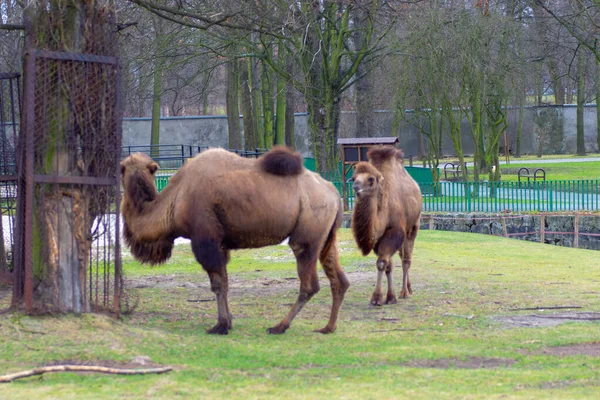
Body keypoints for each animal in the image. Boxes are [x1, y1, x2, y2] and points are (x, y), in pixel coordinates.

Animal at [119, 147, 350, 334]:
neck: (175, 200)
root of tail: (334, 193)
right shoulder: (220, 244)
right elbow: (226, 282)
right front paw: (228, 322)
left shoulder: (205, 238)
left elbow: (217, 283)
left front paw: (220, 326)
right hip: (327, 238)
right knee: (339, 280)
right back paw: (328, 327)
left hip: (307, 237)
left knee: (309, 283)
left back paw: (279, 326)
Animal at [352, 147, 422, 306]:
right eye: (353, 178)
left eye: (371, 179)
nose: (356, 186)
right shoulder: (379, 239)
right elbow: (388, 265)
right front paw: (390, 297)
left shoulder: (395, 230)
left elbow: (382, 263)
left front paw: (378, 298)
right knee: (402, 256)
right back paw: (409, 288)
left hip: (414, 225)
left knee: (406, 260)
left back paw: (404, 292)